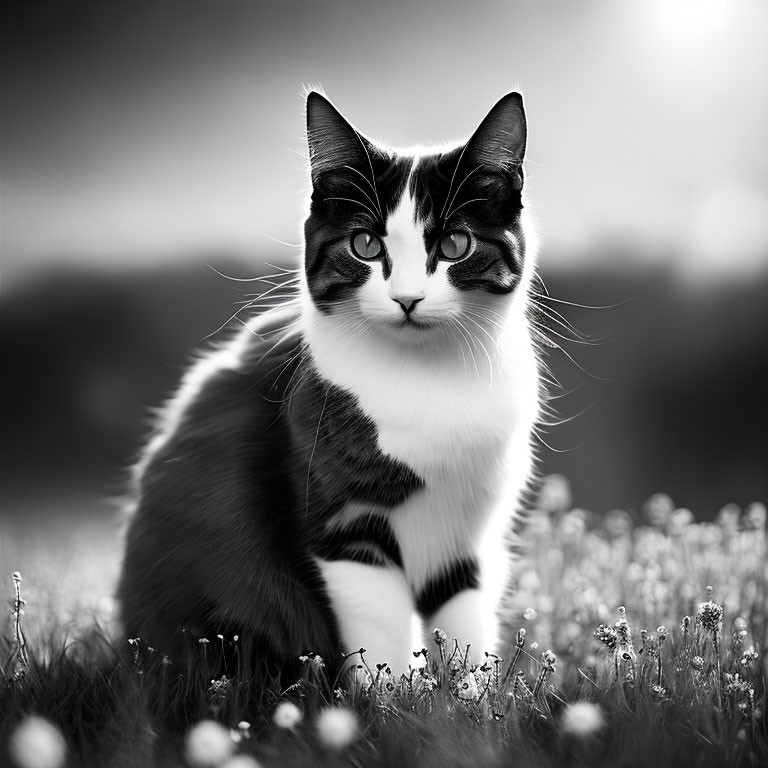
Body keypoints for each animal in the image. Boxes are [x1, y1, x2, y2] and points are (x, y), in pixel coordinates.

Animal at [118, 90, 540, 680]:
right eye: (364, 244)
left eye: (456, 243)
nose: (407, 298)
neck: (431, 379)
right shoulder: (343, 521)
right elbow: (384, 638)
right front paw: (395, 701)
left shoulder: (471, 538)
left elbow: (467, 631)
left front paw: (472, 702)